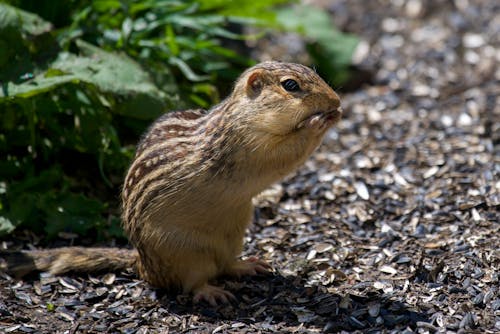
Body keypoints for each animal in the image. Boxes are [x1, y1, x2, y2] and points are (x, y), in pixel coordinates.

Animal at [1, 60, 342, 306]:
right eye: (290, 85)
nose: (336, 100)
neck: (241, 116)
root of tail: (142, 264)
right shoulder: (249, 148)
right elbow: (284, 155)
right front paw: (318, 121)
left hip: (234, 235)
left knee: (225, 265)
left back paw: (246, 266)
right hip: (186, 254)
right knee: (192, 282)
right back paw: (210, 292)